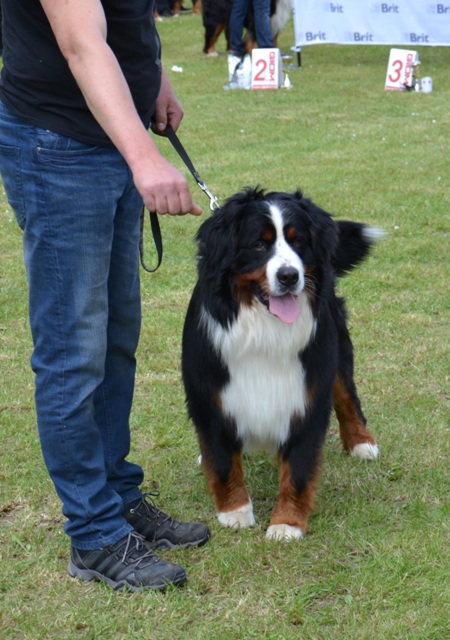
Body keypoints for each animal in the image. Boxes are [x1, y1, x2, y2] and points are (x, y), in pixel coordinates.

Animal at [181, 189, 382, 540]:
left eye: (298, 240)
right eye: (259, 245)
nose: (289, 276)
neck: (265, 331)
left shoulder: (307, 393)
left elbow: (299, 469)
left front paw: (287, 523)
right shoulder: (209, 393)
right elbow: (222, 461)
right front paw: (235, 511)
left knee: (347, 397)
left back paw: (361, 442)